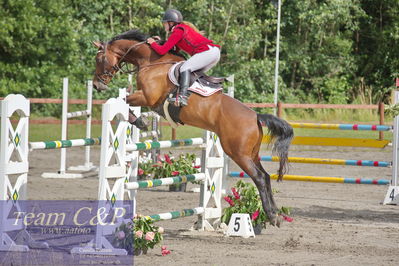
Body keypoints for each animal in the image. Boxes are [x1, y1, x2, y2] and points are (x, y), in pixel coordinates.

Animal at [93, 30, 294, 227]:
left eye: (99, 59)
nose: (96, 85)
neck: (151, 62)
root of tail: (255, 116)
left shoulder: (148, 98)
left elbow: (122, 100)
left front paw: (138, 121)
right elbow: (123, 99)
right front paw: (138, 120)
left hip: (239, 153)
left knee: (258, 177)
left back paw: (271, 215)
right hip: (251, 153)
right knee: (266, 176)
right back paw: (276, 214)